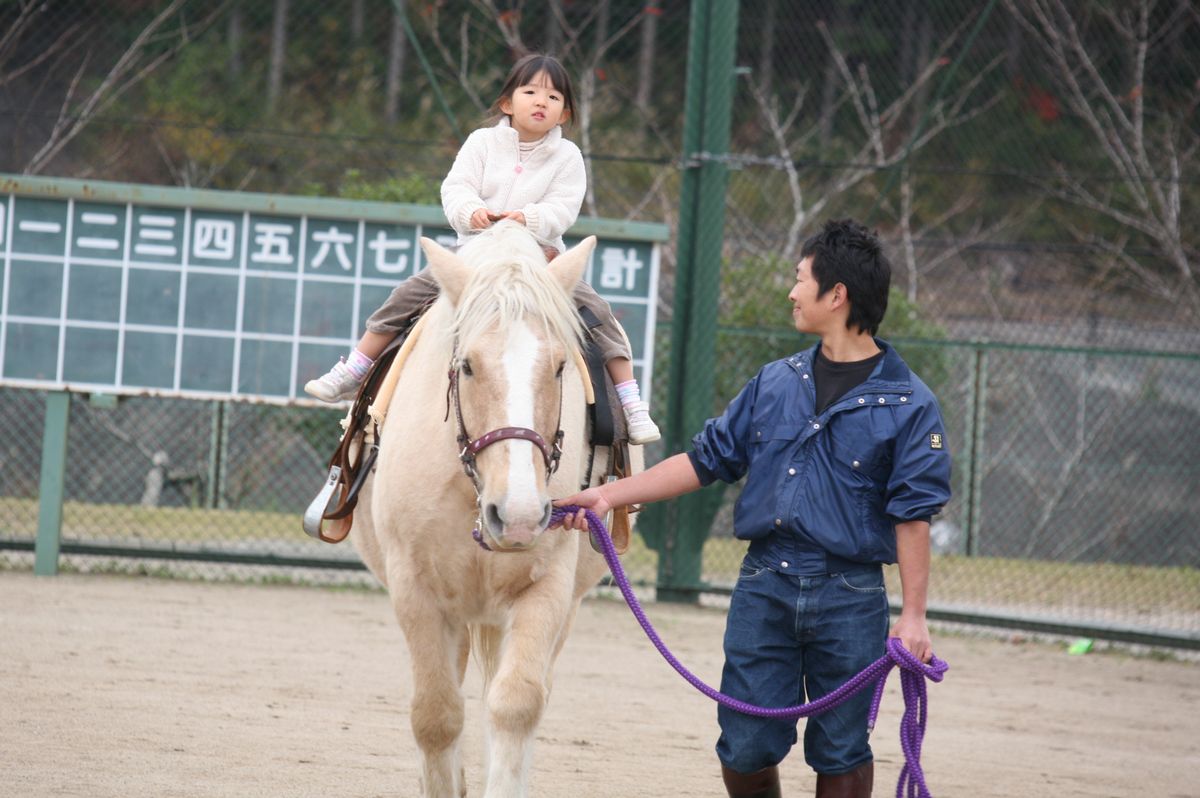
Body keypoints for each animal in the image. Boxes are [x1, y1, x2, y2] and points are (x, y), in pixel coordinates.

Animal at [348, 219, 628, 796]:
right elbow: (435, 716)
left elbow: (517, 704)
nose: (517, 516)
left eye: (561, 366)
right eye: (468, 366)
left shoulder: (547, 588)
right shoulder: (416, 591)